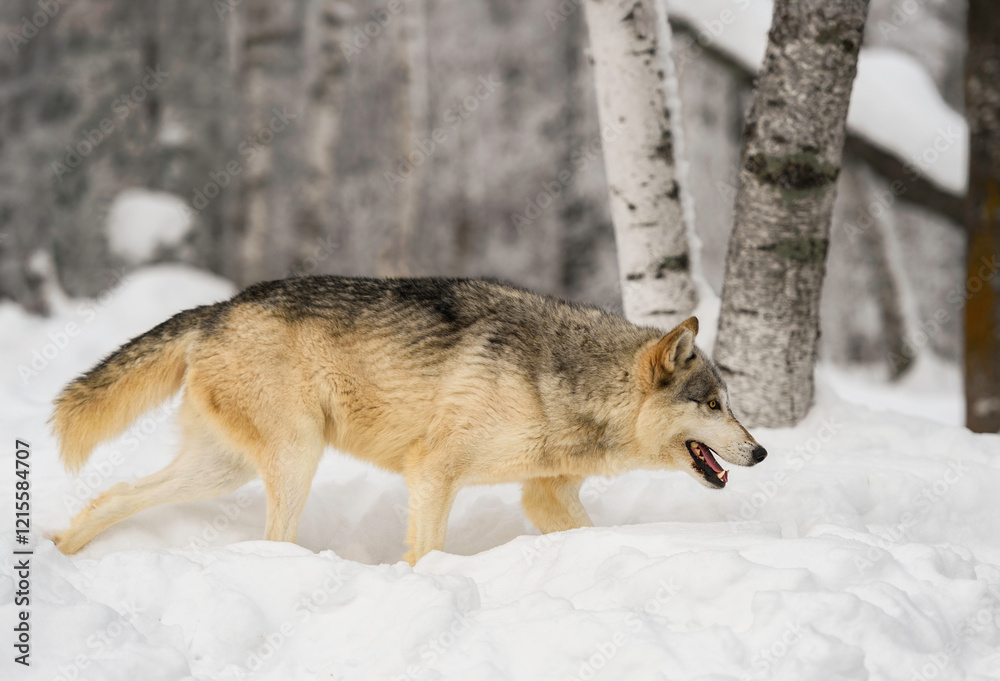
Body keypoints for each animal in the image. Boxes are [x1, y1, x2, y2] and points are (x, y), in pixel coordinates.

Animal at [51, 276, 766, 564]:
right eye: (713, 404)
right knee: (271, 536)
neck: (563, 383)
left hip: (222, 471)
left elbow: (586, 532)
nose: (761, 453)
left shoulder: (543, 495)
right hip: (296, 458)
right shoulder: (433, 472)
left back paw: (62, 550)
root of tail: (217, 307)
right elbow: (428, 552)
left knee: (113, 495)